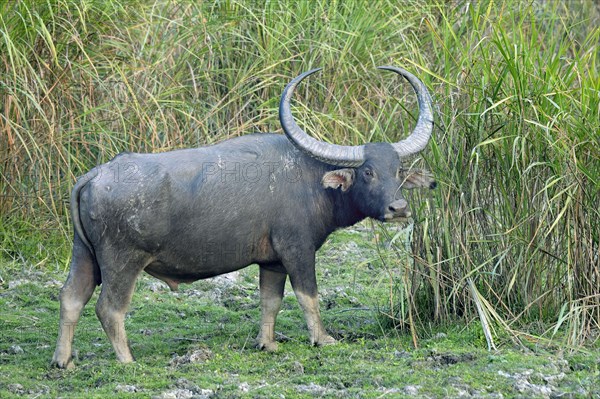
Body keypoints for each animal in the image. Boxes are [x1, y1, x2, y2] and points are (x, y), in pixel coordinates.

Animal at [51, 66, 436, 368]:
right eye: (368, 172)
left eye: (397, 170)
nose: (398, 208)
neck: (311, 181)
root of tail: (95, 175)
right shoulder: (297, 250)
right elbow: (308, 295)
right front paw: (322, 338)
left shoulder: (272, 261)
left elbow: (271, 301)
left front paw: (267, 343)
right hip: (122, 260)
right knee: (109, 308)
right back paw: (127, 359)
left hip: (84, 255)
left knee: (71, 297)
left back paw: (63, 360)